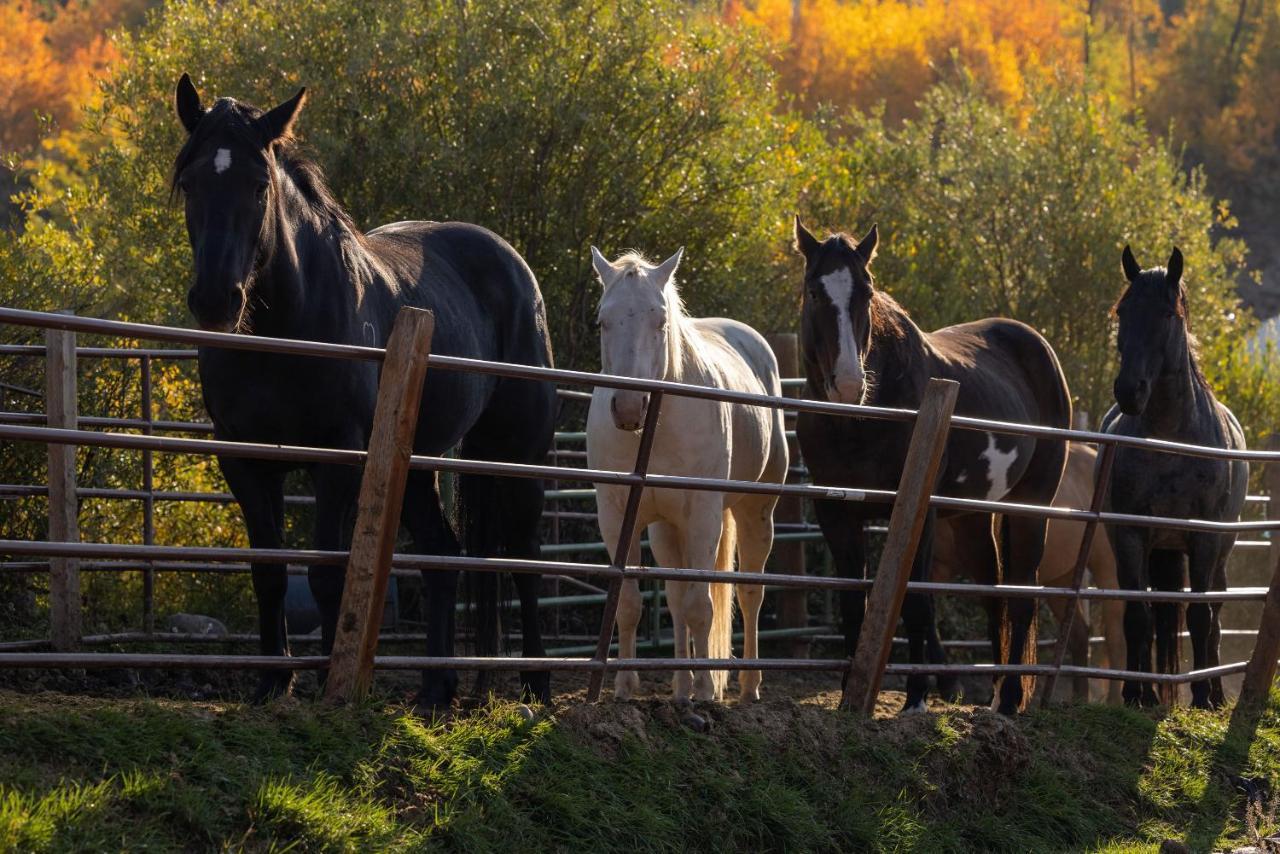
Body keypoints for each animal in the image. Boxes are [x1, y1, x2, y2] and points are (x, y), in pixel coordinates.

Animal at [171, 75, 555, 706]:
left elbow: (329, 573)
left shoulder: (339, 459)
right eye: (190, 182)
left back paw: (537, 688)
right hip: (418, 465)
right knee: (442, 553)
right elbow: (269, 572)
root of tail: (510, 262)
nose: (214, 300)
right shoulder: (244, 460)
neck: (285, 329)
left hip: (518, 453)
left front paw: (331, 683)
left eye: (259, 186)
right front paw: (273, 683)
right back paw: (437, 690)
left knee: (524, 557)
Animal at [586, 245, 783, 701]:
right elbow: (630, 602)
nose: (629, 408)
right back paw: (680, 686)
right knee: (675, 599)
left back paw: (747, 685)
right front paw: (625, 687)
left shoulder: (703, 515)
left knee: (749, 592)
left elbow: (701, 606)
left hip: (755, 512)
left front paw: (707, 690)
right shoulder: (617, 515)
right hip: (668, 529)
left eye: (660, 320)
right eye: (602, 322)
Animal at [788, 220, 1070, 717]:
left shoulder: (920, 514)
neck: (861, 421)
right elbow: (853, 605)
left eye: (867, 291)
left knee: (1021, 596)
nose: (849, 384)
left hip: (1031, 505)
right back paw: (994, 696)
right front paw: (847, 697)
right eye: (814, 291)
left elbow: (917, 604)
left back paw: (1010, 699)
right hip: (973, 519)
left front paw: (916, 699)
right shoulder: (836, 515)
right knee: (994, 597)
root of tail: (1037, 346)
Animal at [926, 445, 1126, 706]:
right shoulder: (936, 566)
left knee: (1115, 636)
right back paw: (1078, 697)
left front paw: (953, 684)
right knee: (1079, 634)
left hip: (1107, 569)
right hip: (1061, 578)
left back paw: (1114, 700)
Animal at [1105, 245, 1244, 706]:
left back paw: (1214, 690)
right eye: (1123, 311)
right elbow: (1138, 616)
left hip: (1221, 552)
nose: (1129, 391)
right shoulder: (1131, 536)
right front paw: (1136, 694)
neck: (1171, 441)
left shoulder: (1204, 538)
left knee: (1214, 615)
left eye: (1167, 314)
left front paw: (1202, 696)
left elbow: (1200, 617)